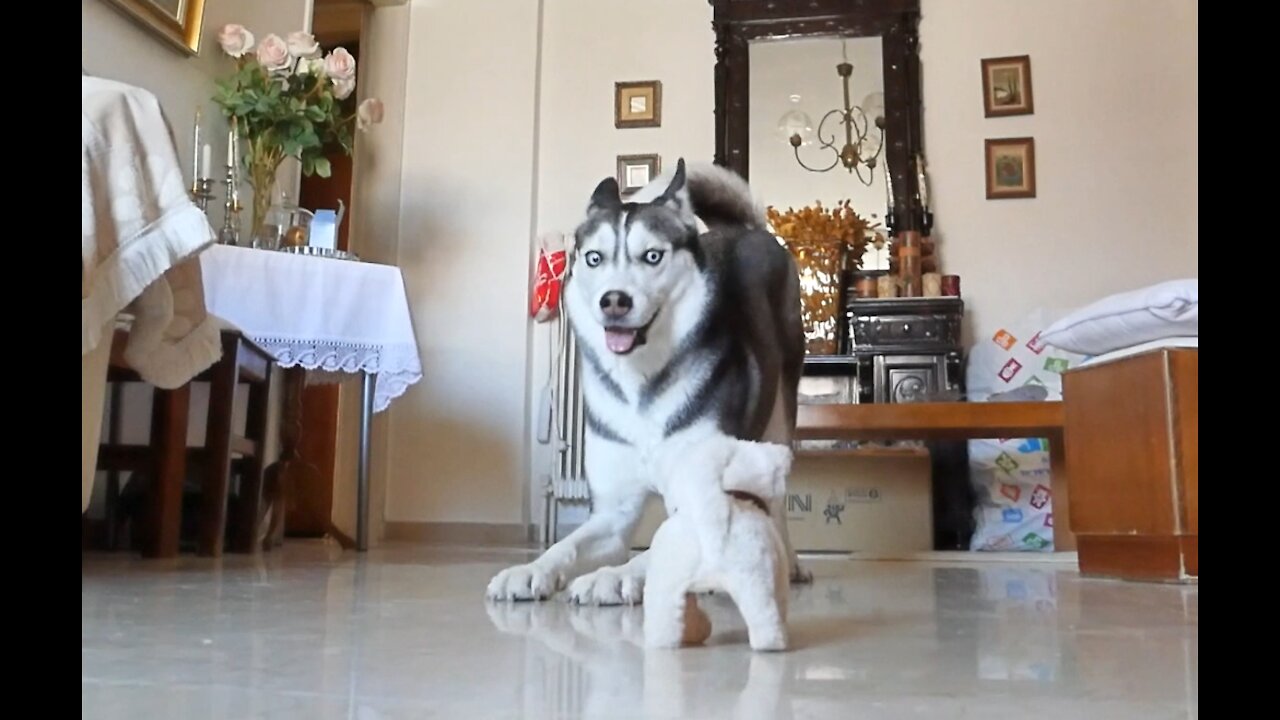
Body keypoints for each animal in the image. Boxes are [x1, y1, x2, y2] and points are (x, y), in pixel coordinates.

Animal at [483, 159, 803, 602]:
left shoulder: (700, 500)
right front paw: (531, 569)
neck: (641, 388)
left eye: (652, 256)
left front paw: (612, 578)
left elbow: (656, 553)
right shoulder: (612, 512)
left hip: (779, 423)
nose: (614, 301)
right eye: (594, 258)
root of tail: (748, 230)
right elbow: (566, 546)